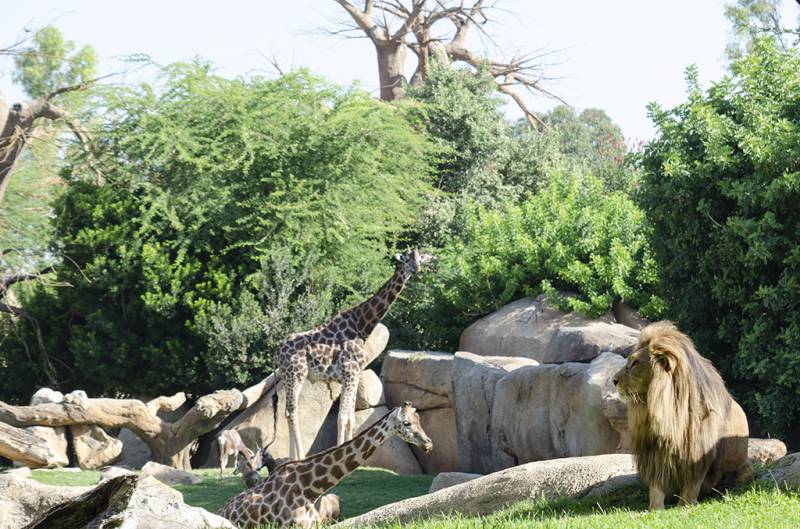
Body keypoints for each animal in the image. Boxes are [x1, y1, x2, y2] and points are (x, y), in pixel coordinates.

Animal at [272, 248, 434, 458]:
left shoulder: (354, 375)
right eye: (407, 259)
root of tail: (278, 351)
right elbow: (342, 417)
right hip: (296, 374)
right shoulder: (349, 372)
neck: (361, 327)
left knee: (288, 412)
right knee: (292, 412)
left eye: (419, 258)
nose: (416, 268)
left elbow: (351, 418)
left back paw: (293, 457)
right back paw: (298, 457)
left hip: (287, 376)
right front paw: (339, 451)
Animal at [612, 320, 752, 510]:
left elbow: (691, 484)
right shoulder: (653, 452)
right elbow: (656, 487)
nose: (614, 380)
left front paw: (684, 505)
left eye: (635, 364)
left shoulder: (697, 451)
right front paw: (655, 508)